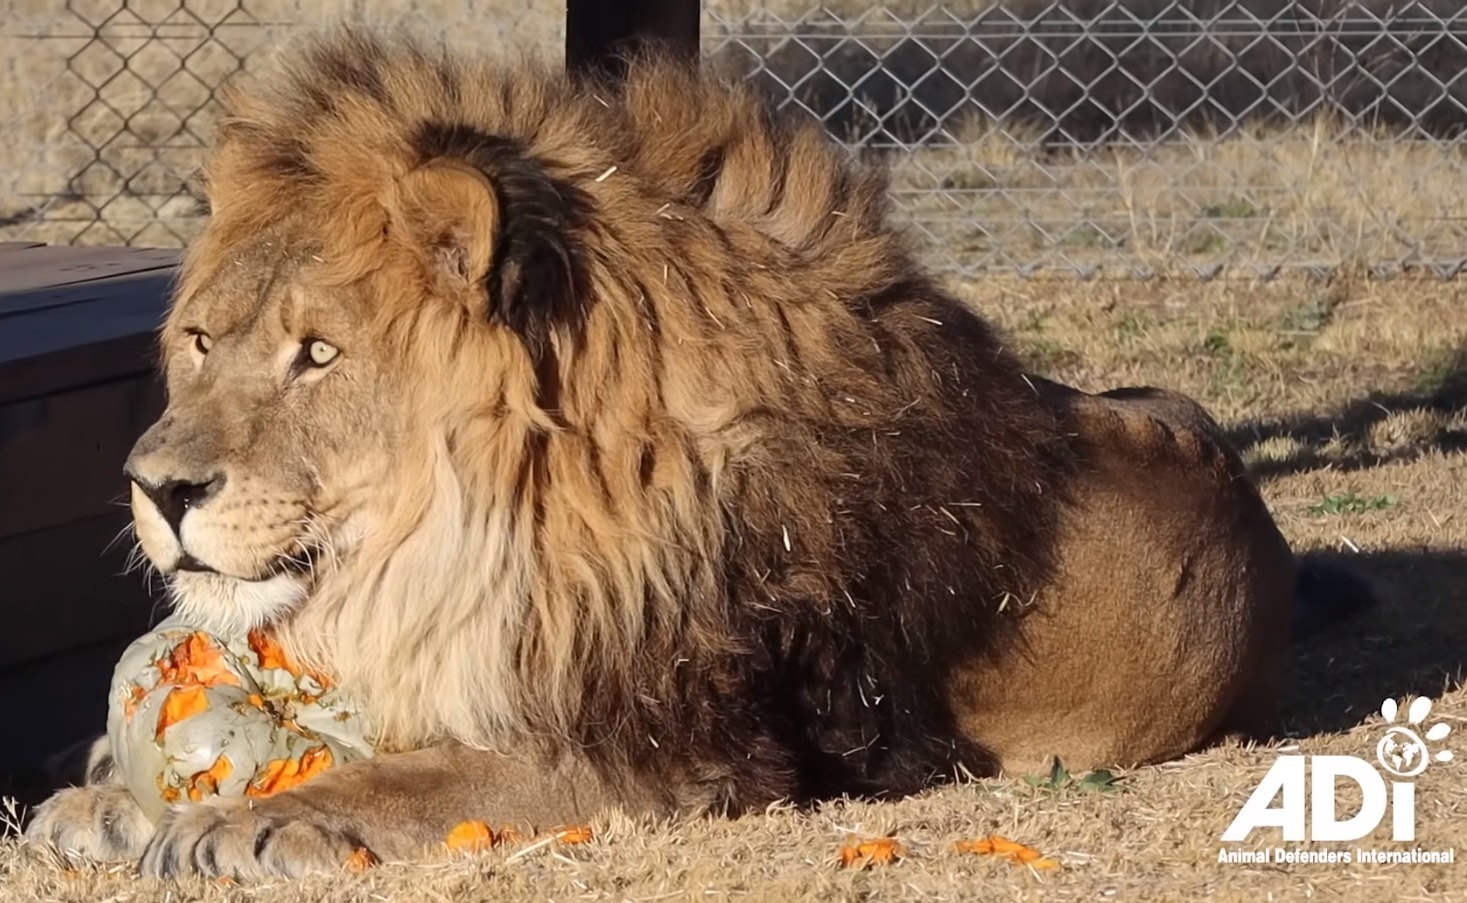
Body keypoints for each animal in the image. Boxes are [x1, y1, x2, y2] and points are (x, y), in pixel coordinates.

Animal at [25, 30, 1373, 879]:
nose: (158, 488)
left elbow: (438, 781)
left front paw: (255, 820)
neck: (475, 532)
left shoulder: (688, 755)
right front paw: (102, 800)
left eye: (317, 354)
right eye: (202, 341)